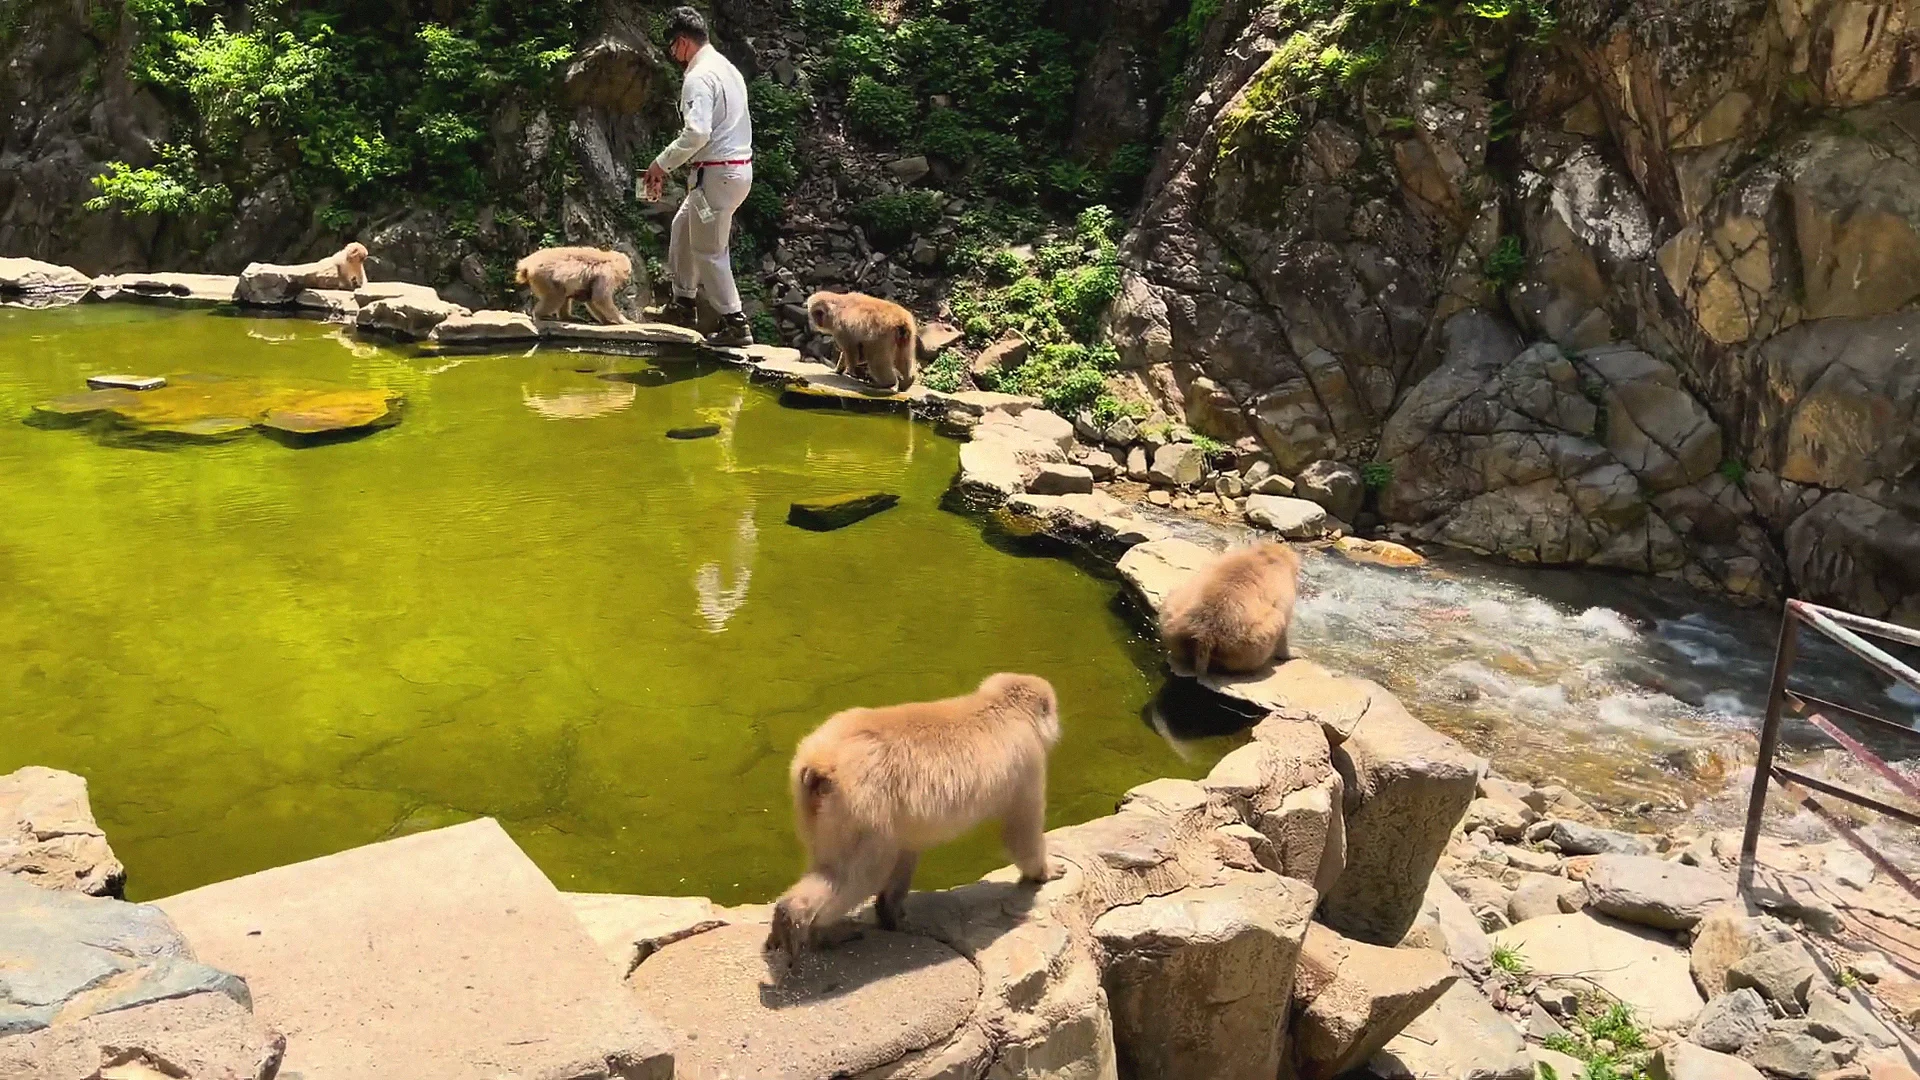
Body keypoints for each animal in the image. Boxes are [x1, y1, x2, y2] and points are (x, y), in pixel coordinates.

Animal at [765, 673, 1062, 962]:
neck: (1001, 706)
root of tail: (819, 763)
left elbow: (907, 850)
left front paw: (890, 912)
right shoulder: (1028, 760)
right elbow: (1021, 830)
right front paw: (1045, 870)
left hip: (816, 806)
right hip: (860, 804)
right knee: (862, 872)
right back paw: (803, 922)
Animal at [1159, 541, 1303, 677]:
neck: (1267, 555)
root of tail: (1204, 636)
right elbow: (1284, 624)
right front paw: (1292, 653)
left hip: (1174, 618)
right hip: (1248, 641)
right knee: (1276, 622)